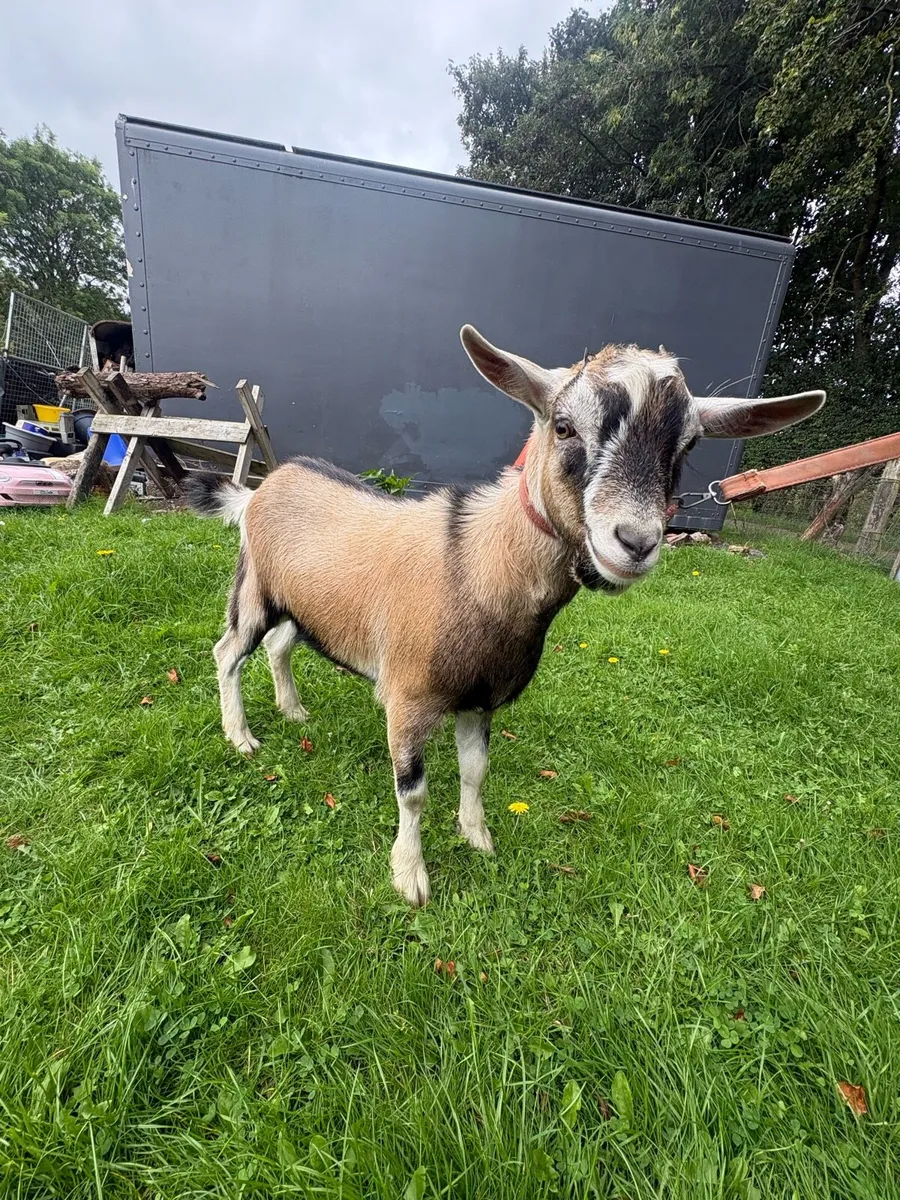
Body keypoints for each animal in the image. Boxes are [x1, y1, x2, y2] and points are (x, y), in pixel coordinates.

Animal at [185, 326, 824, 905]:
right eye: (563, 426)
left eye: (687, 445)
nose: (635, 543)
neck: (477, 563)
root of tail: (258, 491)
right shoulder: (408, 696)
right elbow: (413, 792)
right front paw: (410, 878)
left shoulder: (481, 697)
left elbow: (476, 771)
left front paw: (478, 837)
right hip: (254, 589)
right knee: (228, 652)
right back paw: (242, 737)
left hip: (304, 606)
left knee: (280, 646)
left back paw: (293, 711)